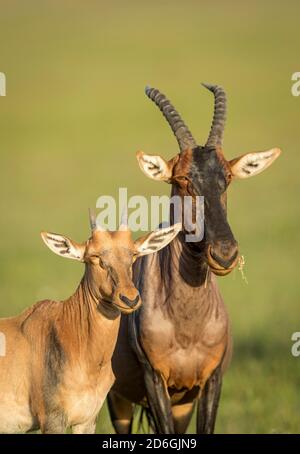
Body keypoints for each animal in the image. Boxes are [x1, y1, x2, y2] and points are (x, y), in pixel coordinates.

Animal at [108, 83, 282, 434]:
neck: (186, 325)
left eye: (227, 178)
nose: (225, 253)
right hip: (117, 401)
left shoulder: (210, 382)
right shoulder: (155, 382)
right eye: (183, 179)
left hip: (181, 404)